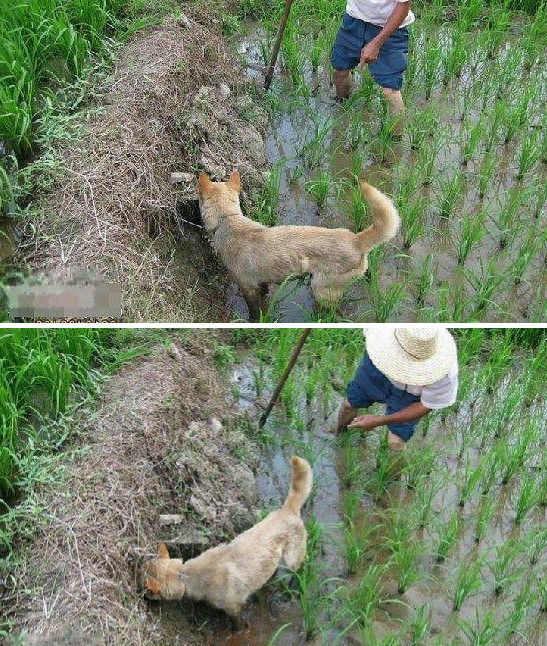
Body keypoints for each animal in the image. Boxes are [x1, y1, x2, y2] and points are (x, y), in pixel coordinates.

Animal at [141, 458, 312, 632]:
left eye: (146, 590)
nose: (139, 593)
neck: (185, 574)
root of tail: (287, 510)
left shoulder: (233, 607)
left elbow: (236, 622)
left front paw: (238, 630)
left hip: (292, 559)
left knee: (300, 567)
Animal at [199, 172, 400, 322]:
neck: (227, 220)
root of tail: (356, 240)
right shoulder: (261, 282)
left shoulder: (247, 286)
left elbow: (254, 312)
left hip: (321, 289)